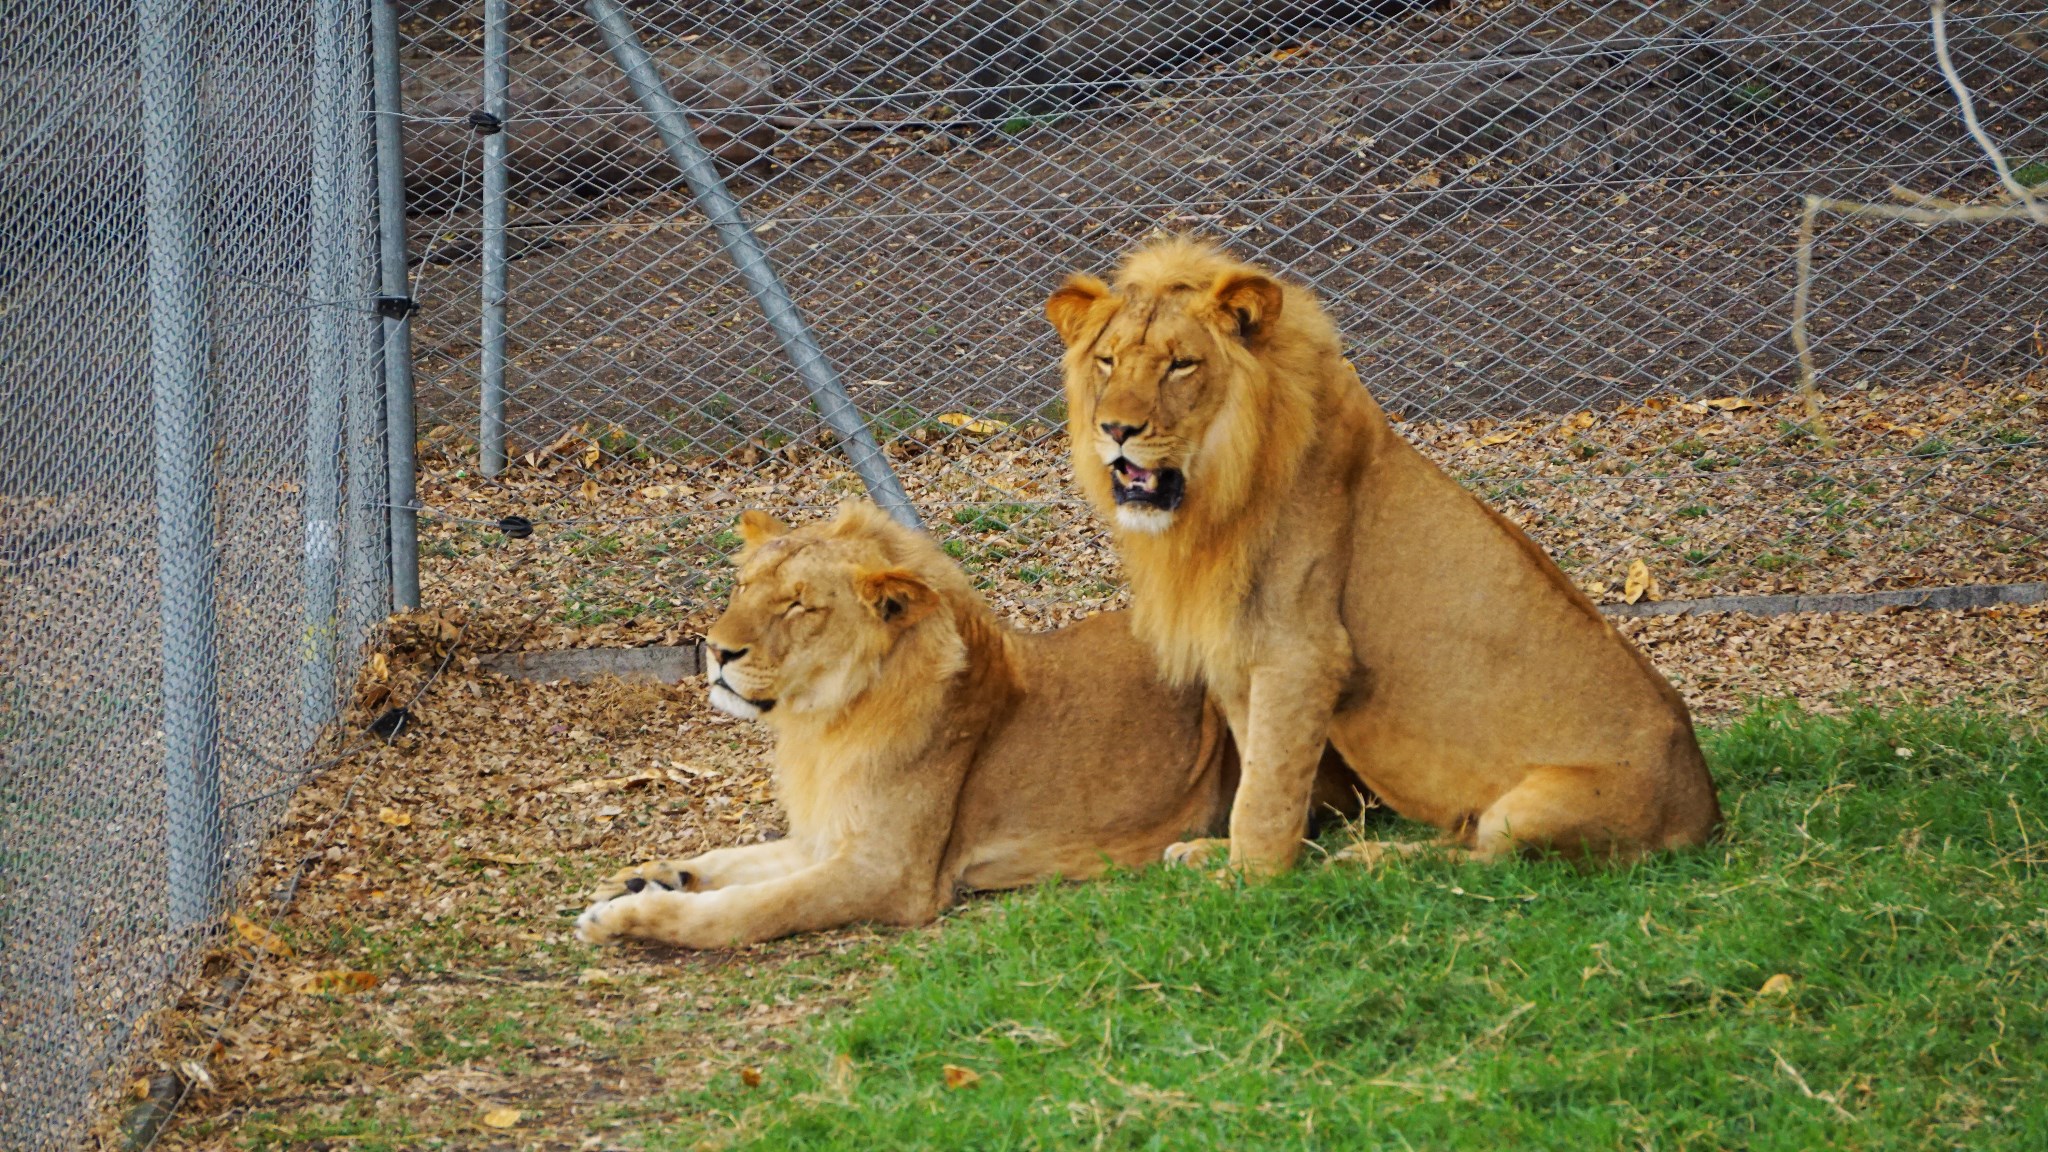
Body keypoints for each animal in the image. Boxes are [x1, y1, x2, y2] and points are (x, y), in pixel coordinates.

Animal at [569, 500, 1228, 942]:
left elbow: (753, 909)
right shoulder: (827, 835)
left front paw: (634, 914)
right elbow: (731, 861)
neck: (824, 724)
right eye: (741, 587)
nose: (715, 650)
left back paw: (1200, 855)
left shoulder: (889, 873)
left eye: (798, 605)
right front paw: (644, 877)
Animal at [1048, 239, 1720, 869]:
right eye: (1108, 361)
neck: (1215, 492)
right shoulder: (1240, 651)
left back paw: (1370, 858)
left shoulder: (1302, 652)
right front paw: (1225, 855)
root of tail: (1705, 814)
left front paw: (1246, 880)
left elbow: (1266, 792)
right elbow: (1261, 776)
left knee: (1483, 861)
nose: (1115, 430)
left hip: (1532, 810)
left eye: (1180, 365)